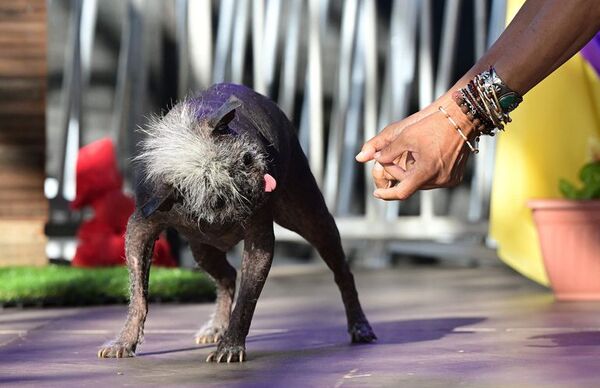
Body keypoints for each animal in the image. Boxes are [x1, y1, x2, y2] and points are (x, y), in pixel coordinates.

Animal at [98, 83, 376, 362]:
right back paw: (216, 326)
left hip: (314, 221)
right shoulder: (140, 229)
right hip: (202, 251)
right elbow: (138, 295)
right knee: (228, 276)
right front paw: (125, 341)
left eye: (246, 159)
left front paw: (230, 346)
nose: (257, 188)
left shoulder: (259, 243)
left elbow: (246, 301)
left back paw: (359, 325)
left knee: (342, 272)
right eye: (218, 199)